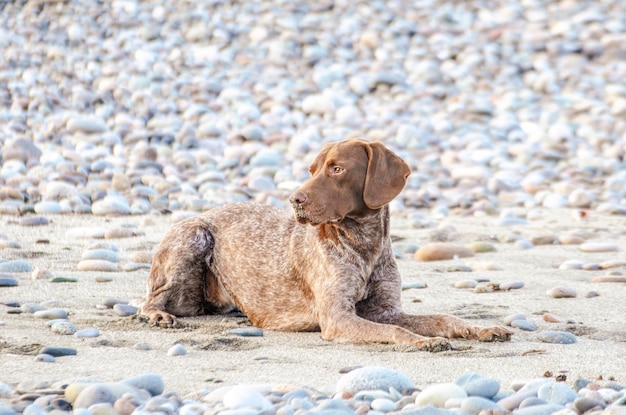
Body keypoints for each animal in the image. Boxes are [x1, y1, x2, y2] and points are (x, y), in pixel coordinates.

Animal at [136, 139, 508, 352]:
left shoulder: (387, 310)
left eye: (337, 169)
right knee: (150, 300)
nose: (294, 200)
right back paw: (157, 315)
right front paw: (425, 341)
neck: (364, 245)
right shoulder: (338, 318)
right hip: (195, 235)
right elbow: (395, 331)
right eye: (312, 169)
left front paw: (480, 329)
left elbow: (442, 318)